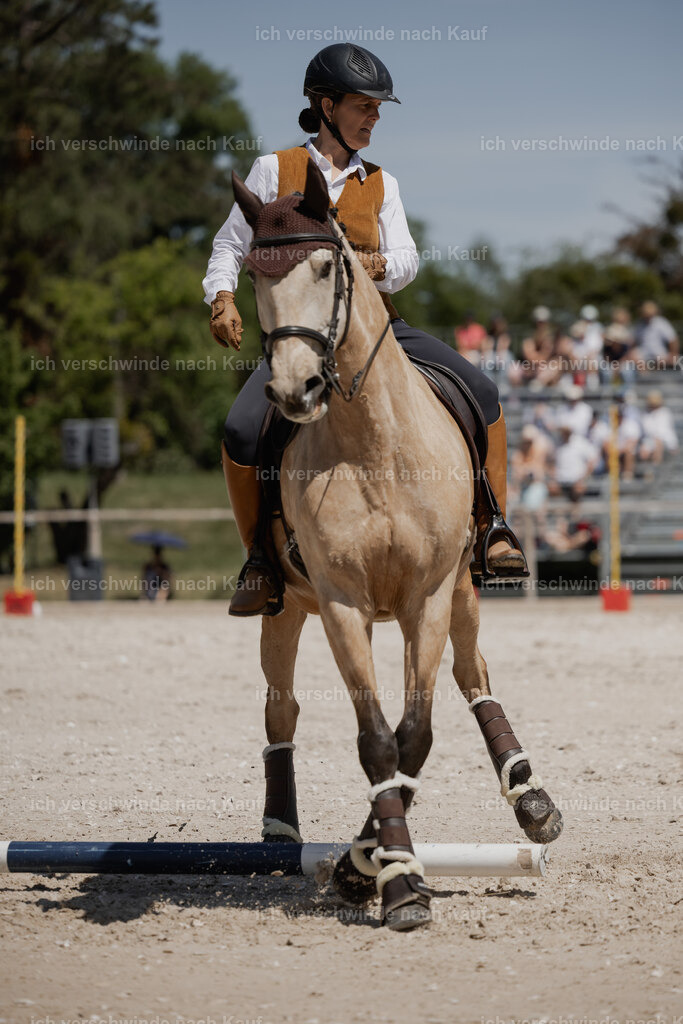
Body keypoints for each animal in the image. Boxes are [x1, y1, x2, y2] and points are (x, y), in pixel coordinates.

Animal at [231, 161, 562, 931]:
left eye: (327, 265)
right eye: (252, 274)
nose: (295, 389)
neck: (371, 441)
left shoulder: (428, 596)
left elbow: (416, 735)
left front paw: (372, 865)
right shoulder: (342, 605)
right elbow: (378, 740)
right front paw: (390, 876)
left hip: (465, 589)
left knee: (474, 678)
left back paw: (530, 799)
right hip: (286, 607)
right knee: (281, 710)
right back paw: (280, 831)